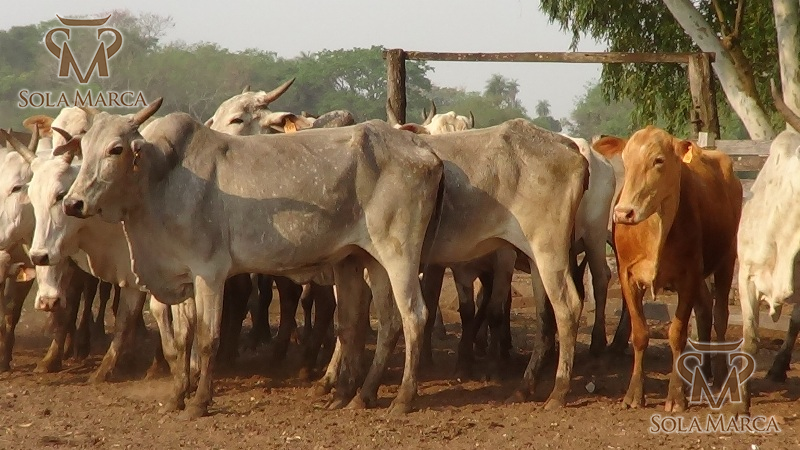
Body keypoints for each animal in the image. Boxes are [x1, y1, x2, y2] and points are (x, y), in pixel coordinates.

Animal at [60, 100, 444, 419]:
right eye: (83, 148)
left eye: (116, 149)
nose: (73, 203)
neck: (161, 177)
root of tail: (424, 151)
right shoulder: (181, 275)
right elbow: (182, 340)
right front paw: (176, 397)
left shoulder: (210, 272)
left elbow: (208, 338)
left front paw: (198, 403)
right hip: (368, 259)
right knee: (383, 322)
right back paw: (359, 396)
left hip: (399, 254)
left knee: (414, 316)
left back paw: (402, 399)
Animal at [592, 125, 742, 412]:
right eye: (625, 161)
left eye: (658, 160)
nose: (623, 213)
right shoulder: (627, 274)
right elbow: (640, 333)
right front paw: (634, 394)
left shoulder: (688, 276)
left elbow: (677, 334)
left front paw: (676, 397)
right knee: (705, 311)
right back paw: (703, 373)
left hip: (727, 257)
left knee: (720, 316)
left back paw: (719, 375)